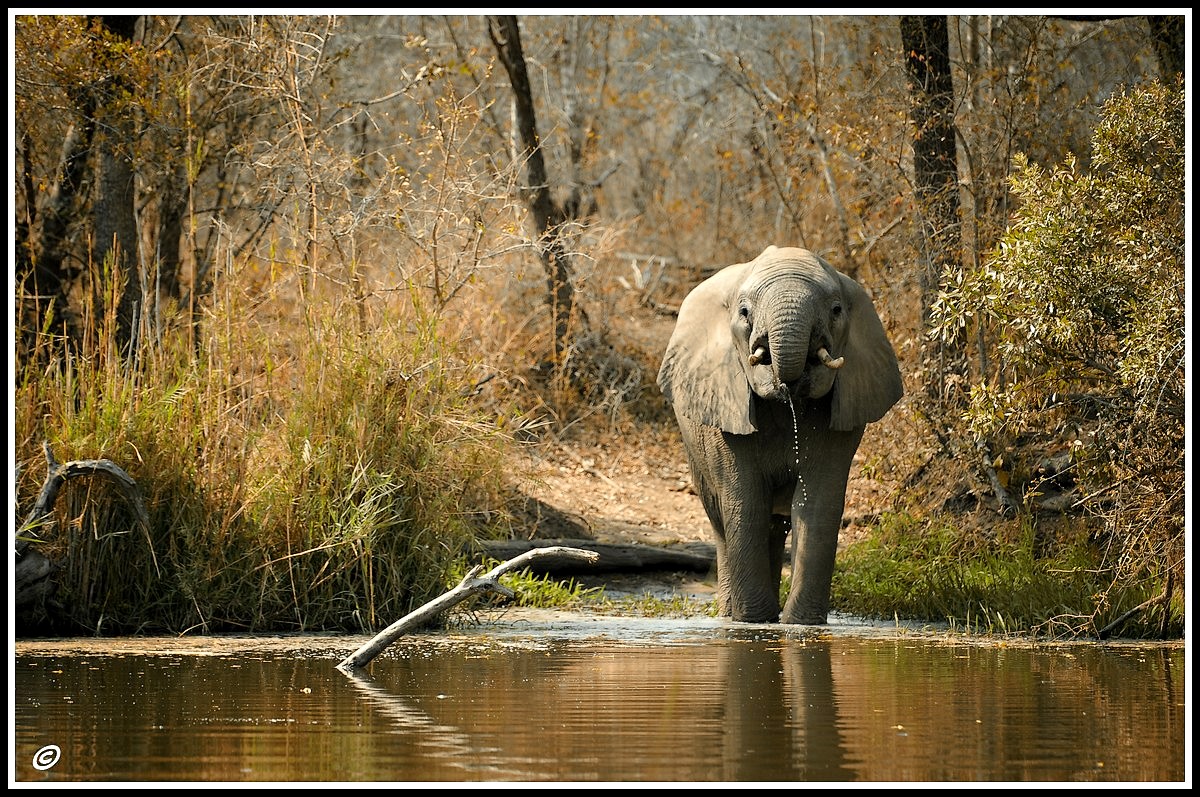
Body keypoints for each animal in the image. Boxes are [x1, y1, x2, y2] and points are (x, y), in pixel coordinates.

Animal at [657, 242, 902, 624]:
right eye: (744, 312)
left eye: (836, 310)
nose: (787, 379)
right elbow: (745, 504)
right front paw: (752, 622)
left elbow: (817, 506)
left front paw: (799, 624)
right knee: (723, 522)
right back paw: (730, 615)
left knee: (774, 526)